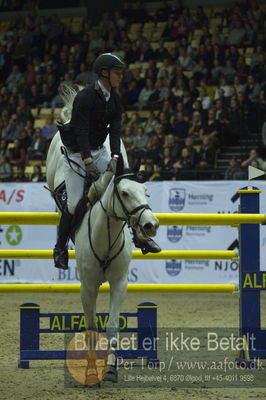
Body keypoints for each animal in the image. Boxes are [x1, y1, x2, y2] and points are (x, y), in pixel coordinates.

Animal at [46, 85, 159, 384]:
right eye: (124, 193)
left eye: (146, 192)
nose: (150, 225)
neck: (105, 237)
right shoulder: (88, 285)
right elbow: (91, 328)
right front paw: (90, 371)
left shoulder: (119, 282)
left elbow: (110, 326)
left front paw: (110, 369)